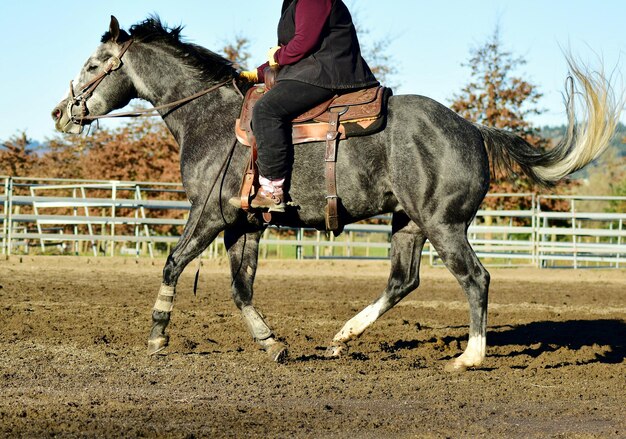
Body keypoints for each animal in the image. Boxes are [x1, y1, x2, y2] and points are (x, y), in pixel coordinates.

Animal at [51, 17, 616, 372]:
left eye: (95, 62)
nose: (61, 112)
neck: (209, 117)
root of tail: (474, 129)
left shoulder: (209, 214)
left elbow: (172, 264)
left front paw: (158, 337)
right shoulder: (244, 224)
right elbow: (241, 288)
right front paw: (272, 344)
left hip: (444, 225)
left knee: (474, 279)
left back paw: (470, 357)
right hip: (408, 224)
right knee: (402, 281)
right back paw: (342, 339)